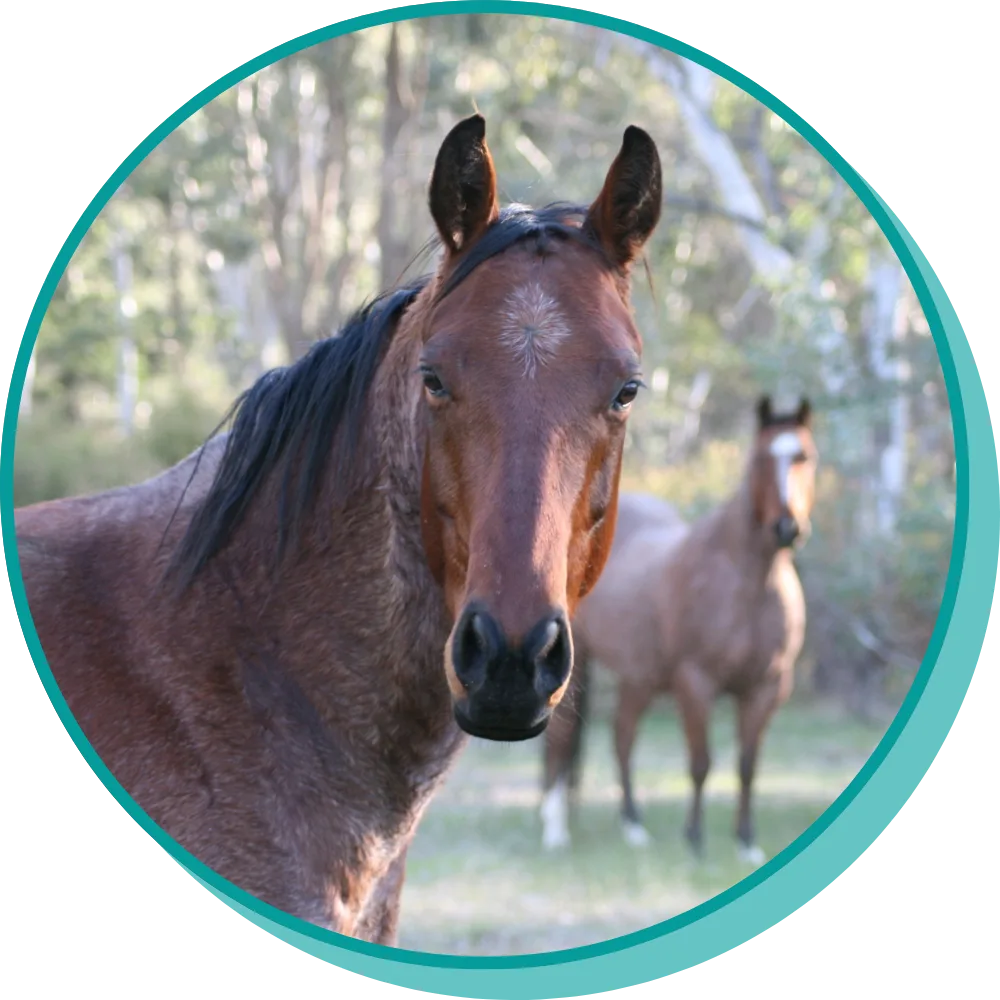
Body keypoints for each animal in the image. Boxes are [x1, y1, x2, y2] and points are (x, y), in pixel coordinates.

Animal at [539, 396, 818, 866]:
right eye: (761, 458)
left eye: (805, 457)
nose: (787, 528)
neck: (749, 582)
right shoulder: (696, 682)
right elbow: (701, 762)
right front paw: (696, 840)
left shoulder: (766, 688)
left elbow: (747, 766)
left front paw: (747, 844)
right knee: (561, 740)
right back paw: (556, 831)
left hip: (640, 676)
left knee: (622, 737)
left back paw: (633, 827)